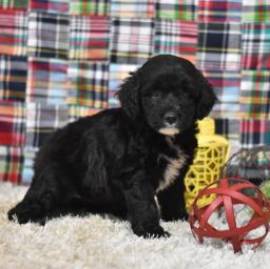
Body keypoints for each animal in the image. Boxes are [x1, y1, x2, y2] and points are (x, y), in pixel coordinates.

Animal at [7, 54, 216, 237]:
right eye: (155, 95)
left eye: (186, 94)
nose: (171, 118)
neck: (163, 137)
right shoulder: (135, 172)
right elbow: (145, 202)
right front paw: (151, 231)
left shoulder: (177, 172)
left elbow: (173, 195)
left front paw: (178, 217)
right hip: (53, 178)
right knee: (29, 204)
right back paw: (30, 218)